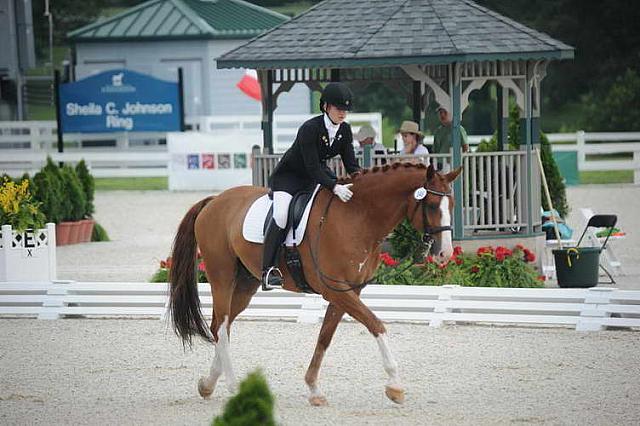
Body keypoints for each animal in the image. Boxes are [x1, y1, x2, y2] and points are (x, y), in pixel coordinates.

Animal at [168, 163, 462, 406]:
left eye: (453, 206)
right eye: (432, 206)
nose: (444, 254)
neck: (358, 217)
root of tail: (214, 201)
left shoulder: (348, 291)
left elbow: (324, 337)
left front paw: (313, 390)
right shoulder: (336, 289)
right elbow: (376, 325)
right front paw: (395, 386)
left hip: (244, 284)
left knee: (222, 326)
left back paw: (207, 385)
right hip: (222, 275)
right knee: (221, 326)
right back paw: (232, 385)